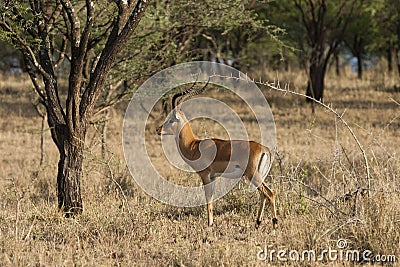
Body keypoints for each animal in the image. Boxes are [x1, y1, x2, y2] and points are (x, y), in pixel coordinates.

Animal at [156, 81, 278, 230]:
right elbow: (212, 198)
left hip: (253, 175)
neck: (194, 146)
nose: (158, 129)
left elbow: (208, 199)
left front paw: (209, 224)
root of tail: (264, 149)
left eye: (171, 120)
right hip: (259, 176)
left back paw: (274, 224)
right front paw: (212, 223)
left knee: (269, 193)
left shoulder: (205, 176)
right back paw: (257, 223)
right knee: (263, 195)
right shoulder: (214, 177)